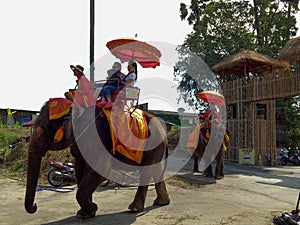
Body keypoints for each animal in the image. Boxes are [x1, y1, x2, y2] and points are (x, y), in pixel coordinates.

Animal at [24, 101, 170, 221]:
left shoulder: (97, 139)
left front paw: (91, 209)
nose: (35, 206)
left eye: (49, 127)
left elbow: (99, 171)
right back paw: (162, 202)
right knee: (156, 171)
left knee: (147, 171)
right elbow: (79, 170)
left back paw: (134, 208)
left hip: (154, 143)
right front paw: (85, 213)